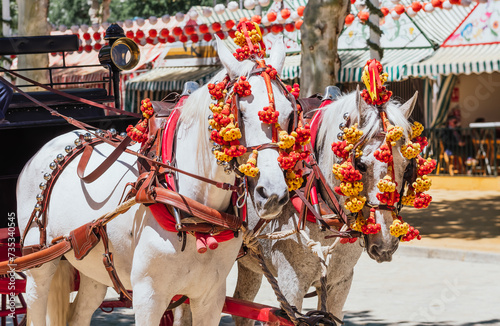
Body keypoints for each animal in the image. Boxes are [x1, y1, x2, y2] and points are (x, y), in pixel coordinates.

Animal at [16, 37, 292, 324]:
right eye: (241, 113)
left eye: (288, 113)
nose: (272, 194)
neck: (197, 218)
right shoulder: (148, 297)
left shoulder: (210, 298)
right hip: (39, 265)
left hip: (94, 270)